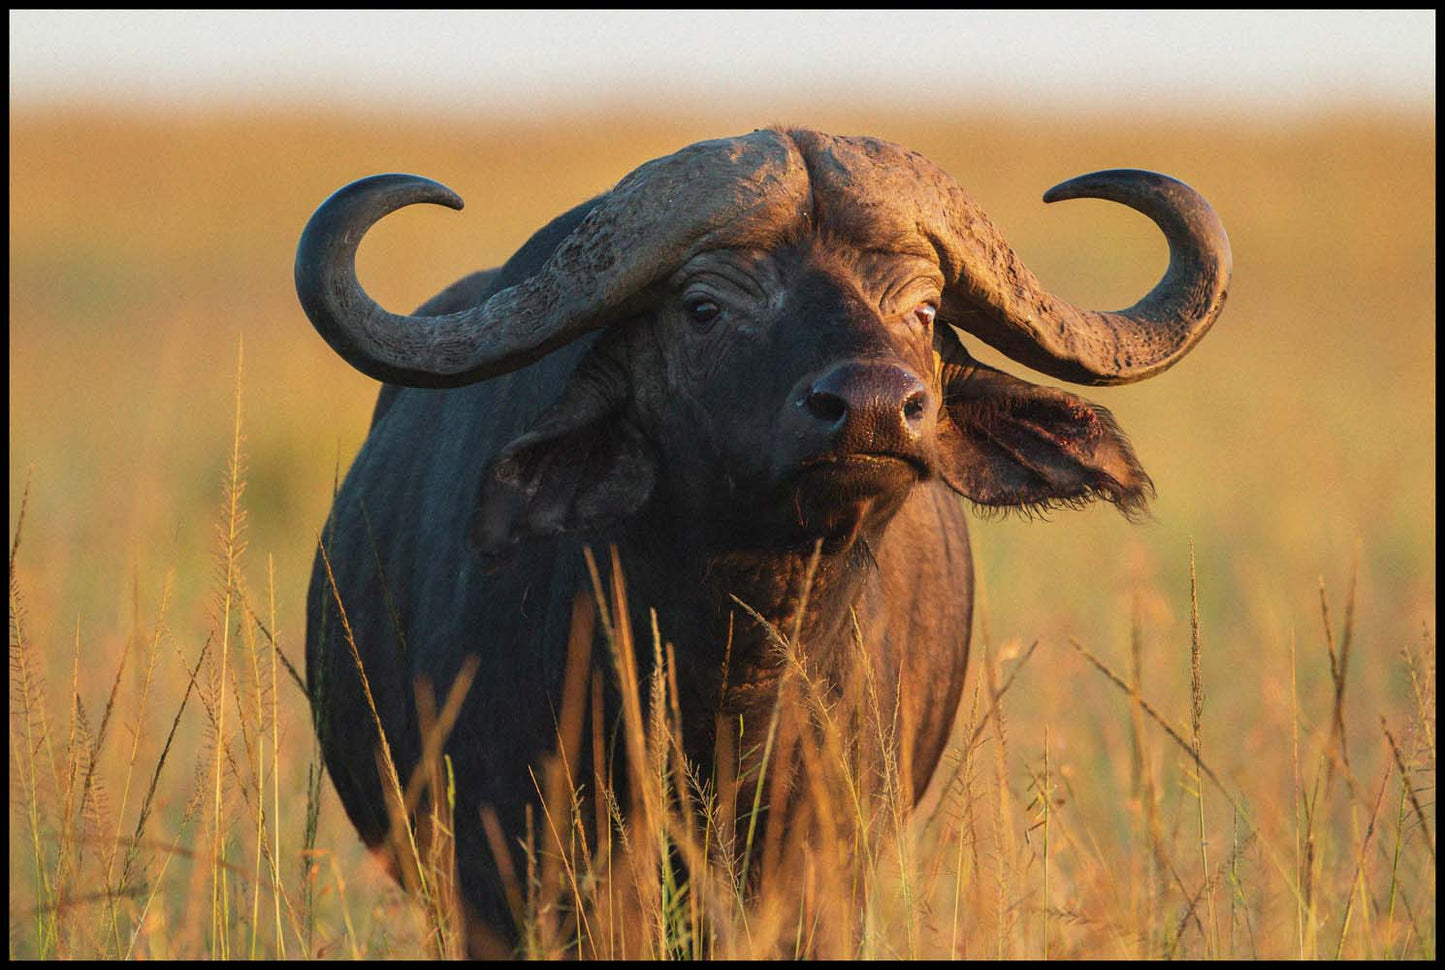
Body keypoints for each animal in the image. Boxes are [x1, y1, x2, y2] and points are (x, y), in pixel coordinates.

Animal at [295, 127, 1229, 953]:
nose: (875, 406)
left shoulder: (819, 878)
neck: (733, 678)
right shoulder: (519, 878)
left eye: (924, 308)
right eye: (704, 307)